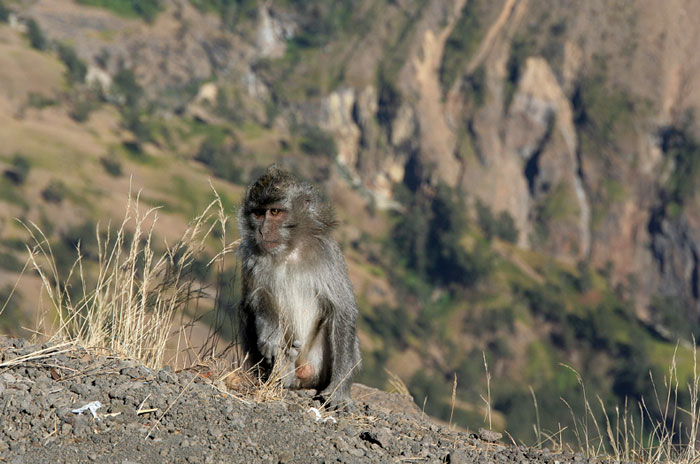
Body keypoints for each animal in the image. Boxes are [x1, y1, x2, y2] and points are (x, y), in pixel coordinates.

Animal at [239, 166, 364, 410]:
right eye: (258, 214)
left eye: (275, 212)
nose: (262, 230)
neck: (289, 250)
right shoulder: (251, 254)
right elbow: (255, 295)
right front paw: (271, 334)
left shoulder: (327, 254)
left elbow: (342, 310)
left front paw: (339, 392)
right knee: (246, 310)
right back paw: (282, 372)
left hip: (317, 364)